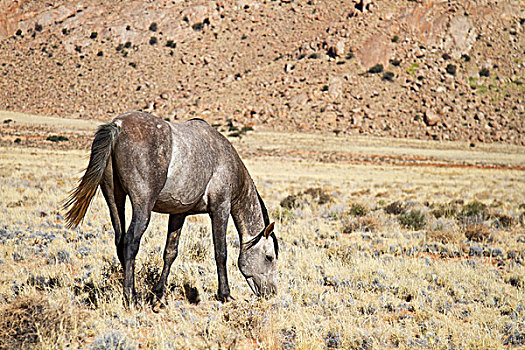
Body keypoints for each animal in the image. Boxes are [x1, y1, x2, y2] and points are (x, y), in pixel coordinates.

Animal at [62, 111, 278, 304]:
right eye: (269, 257)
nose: (271, 293)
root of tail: (118, 125)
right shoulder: (220, 209)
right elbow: (221, 252)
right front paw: (225, 294)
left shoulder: (178, 214)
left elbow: (170, 252)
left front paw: (158, 293)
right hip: (143, 205)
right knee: (131, 242)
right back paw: (131, 297)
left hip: (115, 200)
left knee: (120, 241)